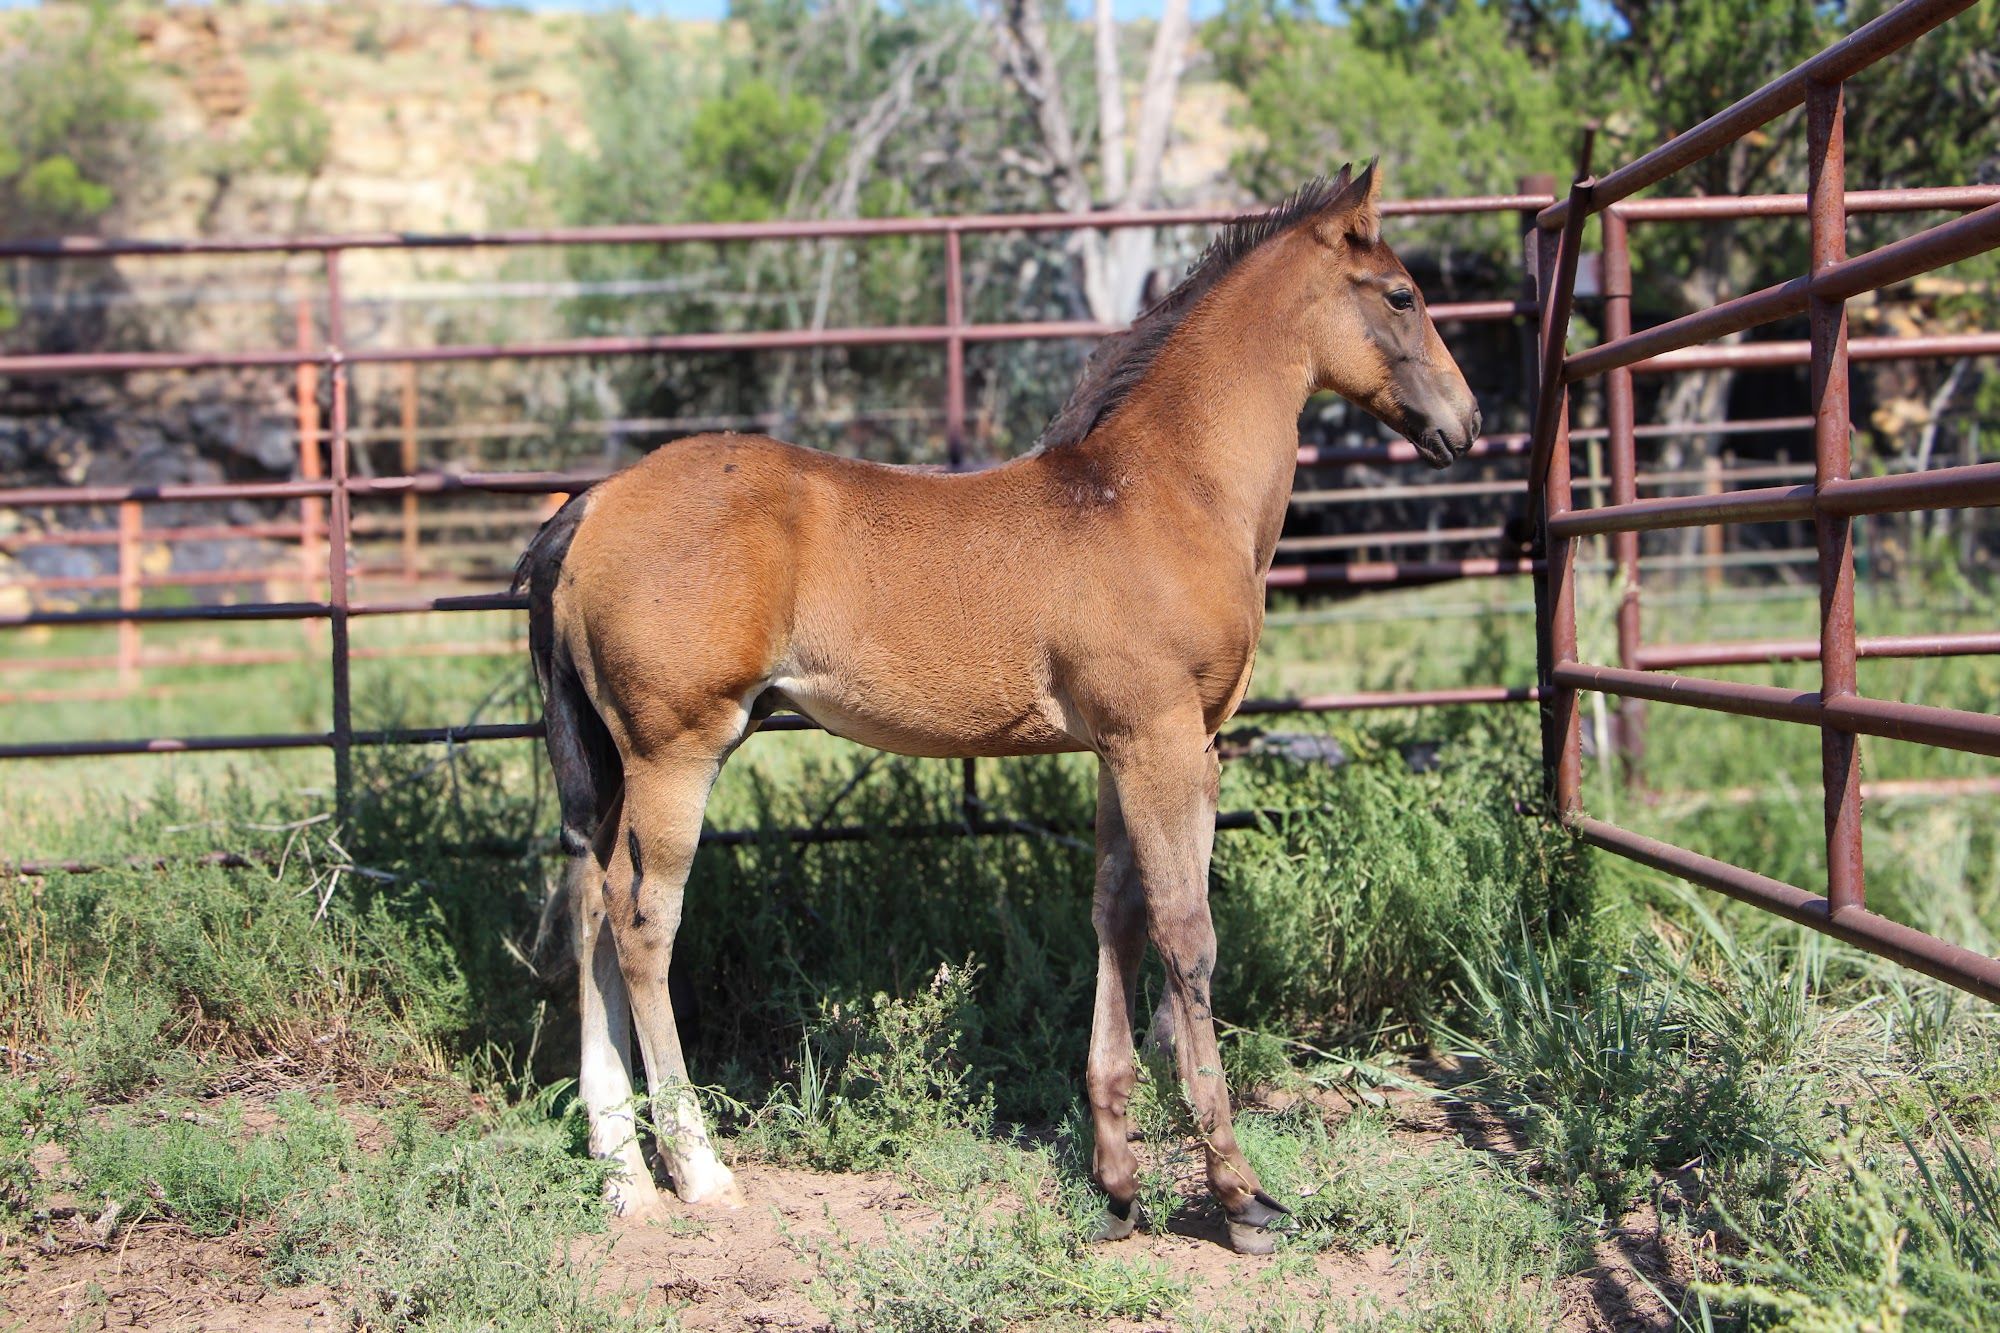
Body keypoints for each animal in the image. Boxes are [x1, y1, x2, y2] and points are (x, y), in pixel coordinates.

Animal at [515, 163, 1481, 1254]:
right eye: (1401, 294)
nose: (1464, 421)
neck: (1163, 490)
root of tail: (592, 504)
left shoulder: (1117, 749)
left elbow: (1117, 915)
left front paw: (1117, 1180)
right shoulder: (1168, 741)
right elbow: (1187, 932)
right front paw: (1239, 1195)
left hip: (608, 765)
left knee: (587, 908)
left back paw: (622, 1174)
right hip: (675, 750)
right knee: (641, 923)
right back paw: (698, 1168)